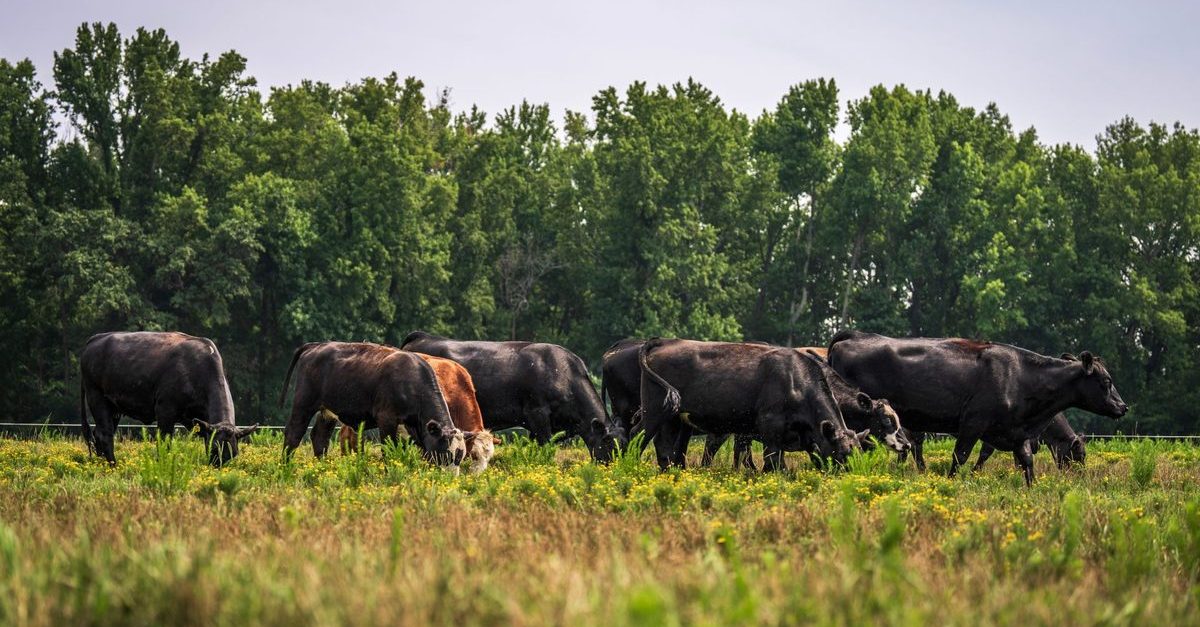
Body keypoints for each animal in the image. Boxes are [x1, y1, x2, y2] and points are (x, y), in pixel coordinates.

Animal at [79, 331, 258, 466]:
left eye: (234, 453)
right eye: (215, 449)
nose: (218, 469)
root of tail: (97, 338)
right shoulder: (165, 410)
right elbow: (164, 443)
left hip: (114, 407)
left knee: (99, 433)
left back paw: (101, 464)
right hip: (96, 397)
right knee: (105, 434)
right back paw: (112, 466)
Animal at [278, 342, 465, 467]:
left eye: (460, 456)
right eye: (446, 454)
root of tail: (316, 345)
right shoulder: (387, 419)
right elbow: (389, 450)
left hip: (327, 411)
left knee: (320, 438)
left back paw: (322, 469)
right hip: (304, 404)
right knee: (293, 434)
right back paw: (286, 467)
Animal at [400, 331, 626, 462]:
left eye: (625, 445)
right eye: (609, 444)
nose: (619, 469)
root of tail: (422, 336)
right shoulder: (537, 414)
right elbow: (546, 447)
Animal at [636, 338, 860, 471]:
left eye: (859, 451)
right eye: (843, 455)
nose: (853, 476)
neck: (797, 381)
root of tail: (665, 341)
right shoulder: (770, 427)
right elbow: (773, 462)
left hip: (673, 418)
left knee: (663, 445)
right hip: (653, 411)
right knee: (636, 437)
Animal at [827, 330, 1126, 485]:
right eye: (1106, 381)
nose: (1123, 407)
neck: (1021, 375)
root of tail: (854, 336)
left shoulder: (1017, 432)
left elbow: (1026, 462)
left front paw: (1032, 488)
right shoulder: (973, 424)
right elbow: (961, 456)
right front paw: (953, 481)